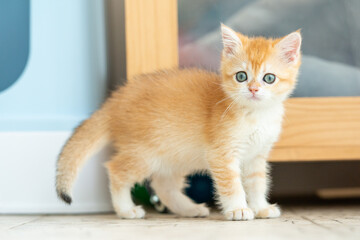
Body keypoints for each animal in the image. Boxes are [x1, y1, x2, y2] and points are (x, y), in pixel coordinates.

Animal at [55, 24, 300, 221]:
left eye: (269, 78)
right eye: (241, 76)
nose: (253, 89)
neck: (255, 115)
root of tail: (117, 98)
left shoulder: (256, 156)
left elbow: (257, 184)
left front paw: (260, 208)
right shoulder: (222, 154)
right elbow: (232, 185)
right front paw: (238, 209)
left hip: (175, 155)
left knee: (164, 186)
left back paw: (189, 209)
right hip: (144, 153)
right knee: (116, 170)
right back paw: (126, 210)